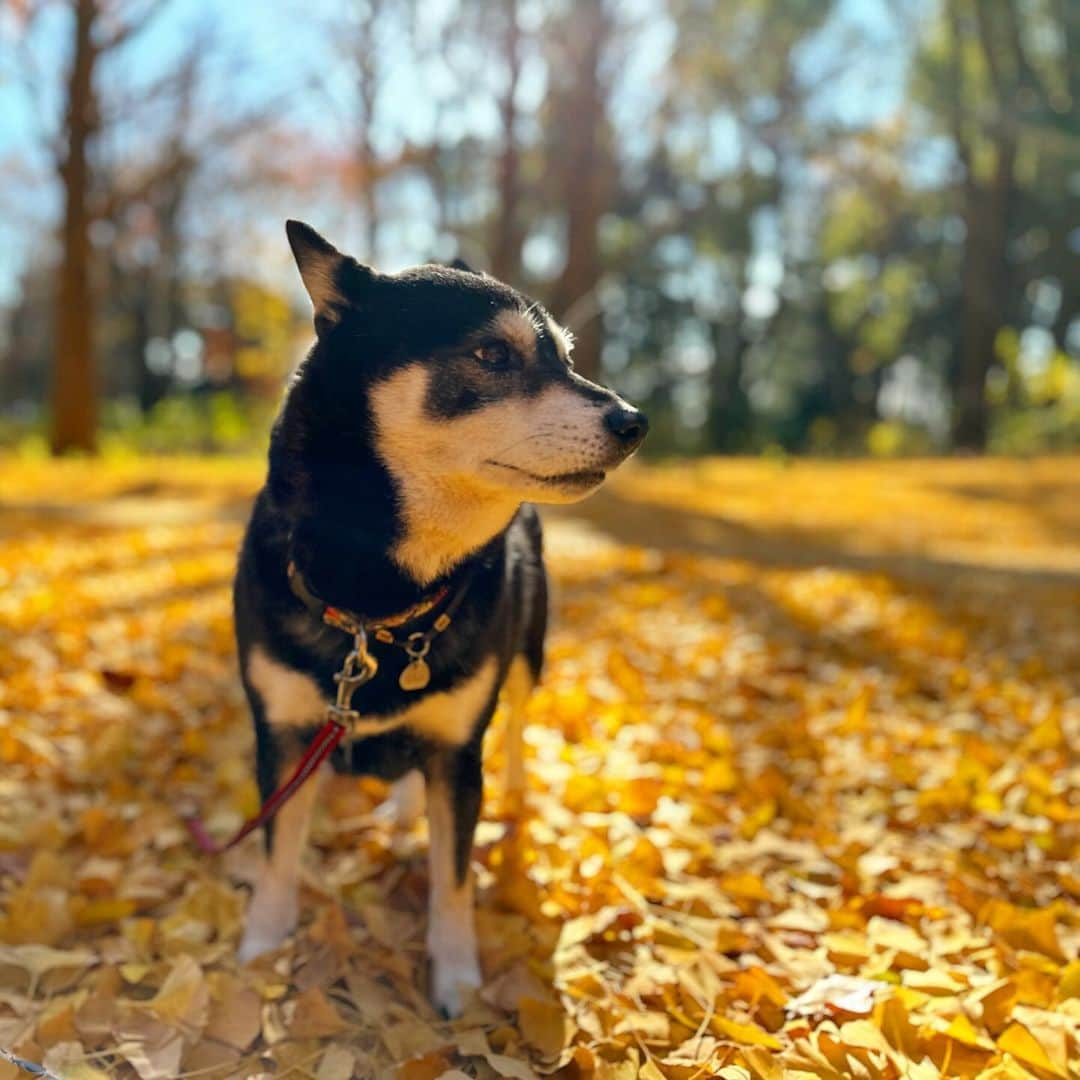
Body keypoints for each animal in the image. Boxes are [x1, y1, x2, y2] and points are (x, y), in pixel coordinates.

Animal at [232, 223, 643, 1015]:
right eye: (493, 355)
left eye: (567, 358)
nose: (634, 421)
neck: (377, 606)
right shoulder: (284, 736)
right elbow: (278, 859)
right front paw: (263, 947)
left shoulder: (457, 754)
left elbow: (451, 883)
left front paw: (456, 981)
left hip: (527, 658)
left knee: (514, 727)